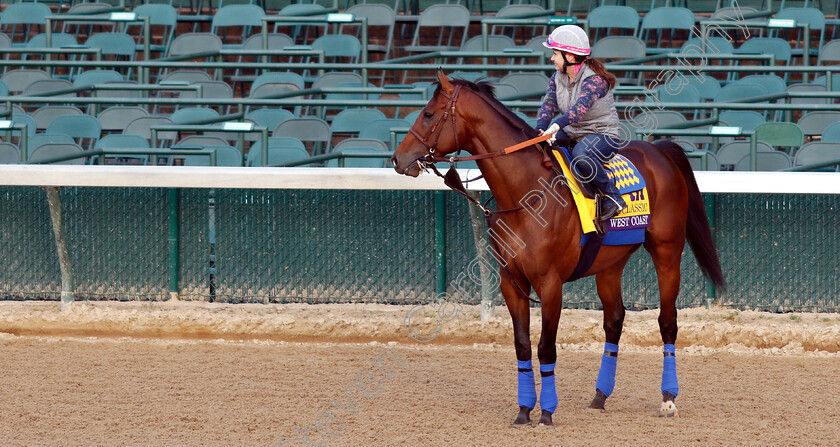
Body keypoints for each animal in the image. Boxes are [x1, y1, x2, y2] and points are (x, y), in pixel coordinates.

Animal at [390, 72, 724, 428]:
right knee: (614, 321)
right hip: (610, 264)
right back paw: (600, 396)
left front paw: (547, 412)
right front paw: (524, 410)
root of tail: (659, 149)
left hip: (667, 251)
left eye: (428, 114)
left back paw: (668, 399)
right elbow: (523, 346)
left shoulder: (550, 285)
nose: (398, 159)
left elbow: (546, 348)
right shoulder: (511, 282)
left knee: (668, 321)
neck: (526, 195)